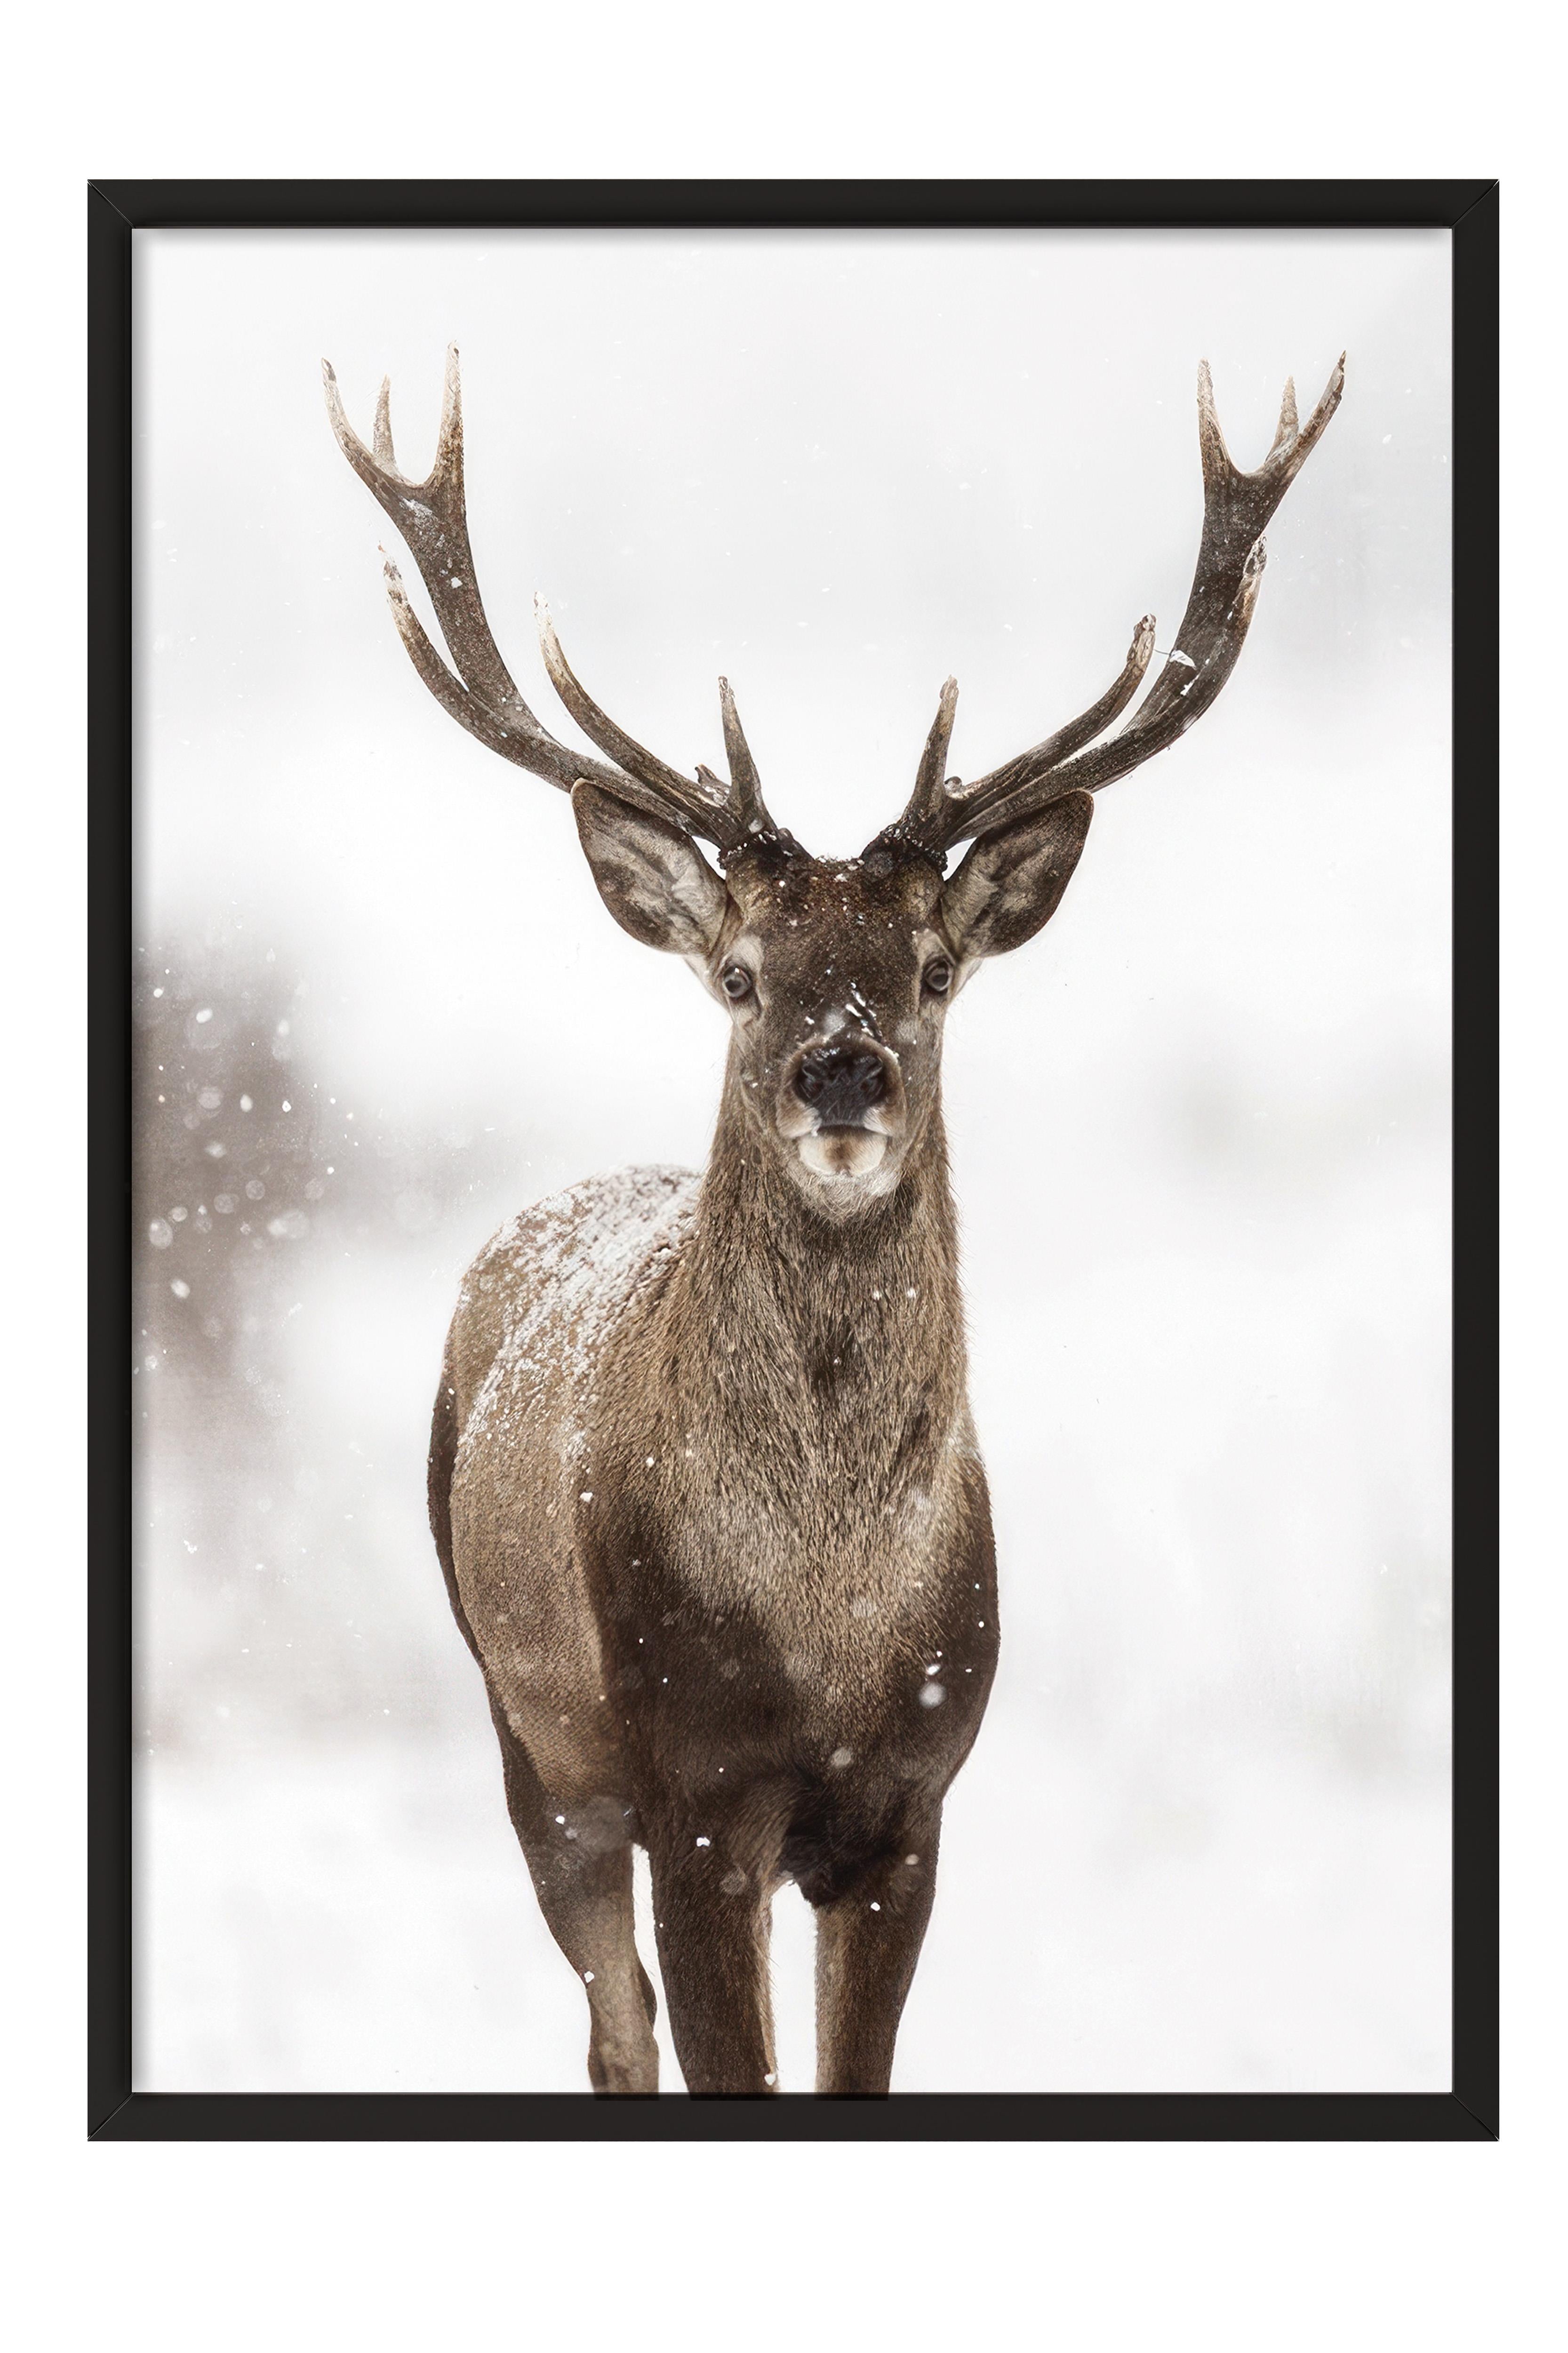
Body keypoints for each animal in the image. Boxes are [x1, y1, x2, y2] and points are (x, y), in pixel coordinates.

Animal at [324, 344, 1342, 2096]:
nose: (843, 1066)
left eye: (934, 969)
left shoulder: (911, 1801)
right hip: (529, 1733)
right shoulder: (691, 1789)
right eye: (739, 973)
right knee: (612, 2034)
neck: (827, 1624)